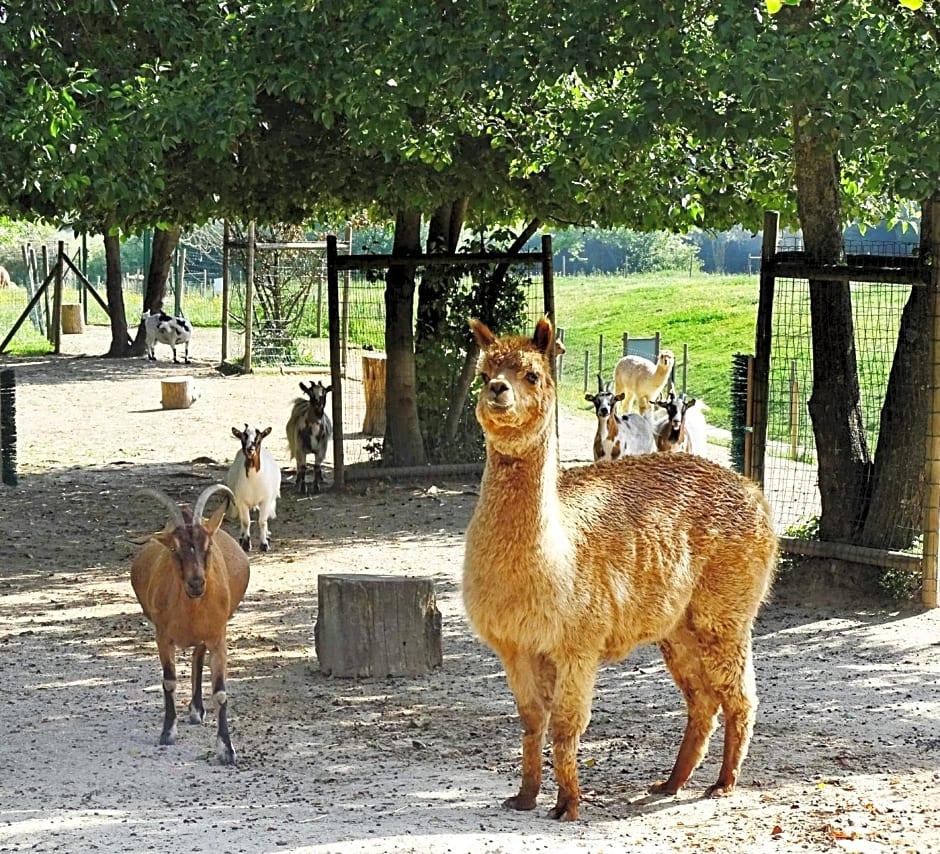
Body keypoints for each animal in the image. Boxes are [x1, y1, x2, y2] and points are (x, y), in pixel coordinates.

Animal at [132, 484, 252, 764]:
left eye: (208, 545)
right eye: (174, 549)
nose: (196, 583)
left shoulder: (218, 638)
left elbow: (220, 692)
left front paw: (226, 749)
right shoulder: (163, 637)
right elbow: (169, 682)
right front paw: (167, 732)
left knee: (198, 657)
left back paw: (197, 709)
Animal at [226, 422, 280, 556]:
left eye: (259, 438)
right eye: (242, 438)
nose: (250, 449)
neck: (253, 482)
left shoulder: (265, 500)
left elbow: (262, 521)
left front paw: (264, 544)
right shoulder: (241, 501)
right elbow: (246, 521)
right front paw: (246, 544)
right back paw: (241, 538)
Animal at [462, 320, 780, 824]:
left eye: (532, 374)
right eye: (483, 372)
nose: (498, 390)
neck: (552, 555)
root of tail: (753, 490)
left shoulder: (578, 645)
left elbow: (566, 725)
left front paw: (567, 805)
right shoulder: (516, 646)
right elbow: (532, 722)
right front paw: (525, 797)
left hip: (725, 611)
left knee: (739, 694)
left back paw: (723, 784)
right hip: (677, 625)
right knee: (702, 699)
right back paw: (671, 783)